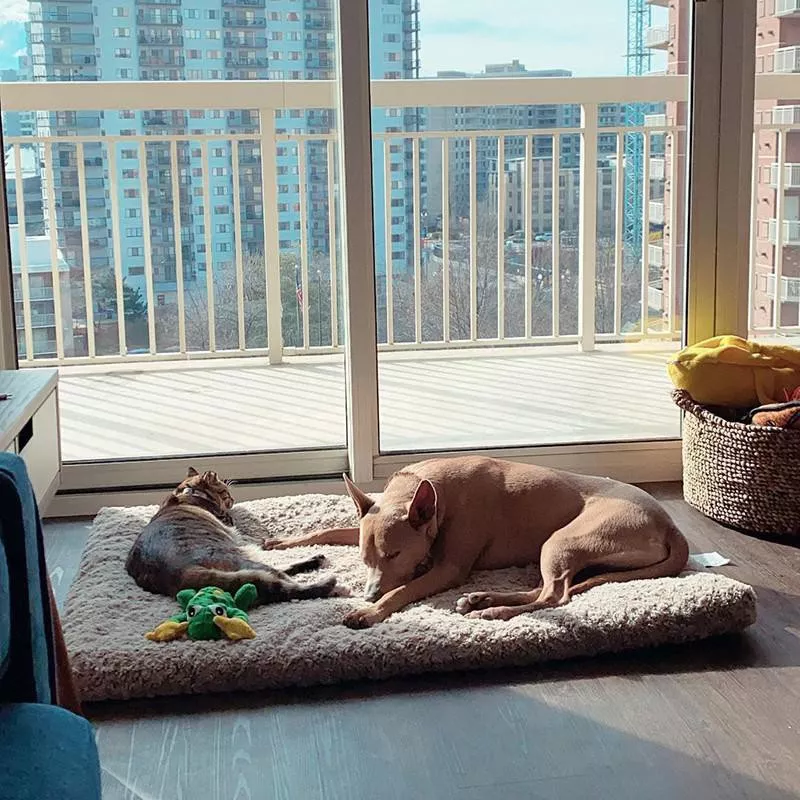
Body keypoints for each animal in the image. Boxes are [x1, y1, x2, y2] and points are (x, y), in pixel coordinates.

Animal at [126, 466, 340, 604]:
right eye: (226, 492)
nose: (234, 499)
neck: (187, 493)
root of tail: (177, 573)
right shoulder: (228, 522)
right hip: (237, 557)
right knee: (280, 578)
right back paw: (333, 585)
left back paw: (315, 560)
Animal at [262, 460, 688, 628]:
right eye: (366, 558)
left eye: (394, 554)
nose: (367, 594)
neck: (433, 495)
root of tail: (669, 524)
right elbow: (330, 531)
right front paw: (284, 541)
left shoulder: (448, 569)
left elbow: (402, 590)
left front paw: (370, 613)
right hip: (559, 550)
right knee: (547, 588)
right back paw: (482, 599)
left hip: (562, 540)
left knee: (555, 596)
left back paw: (493, 612)